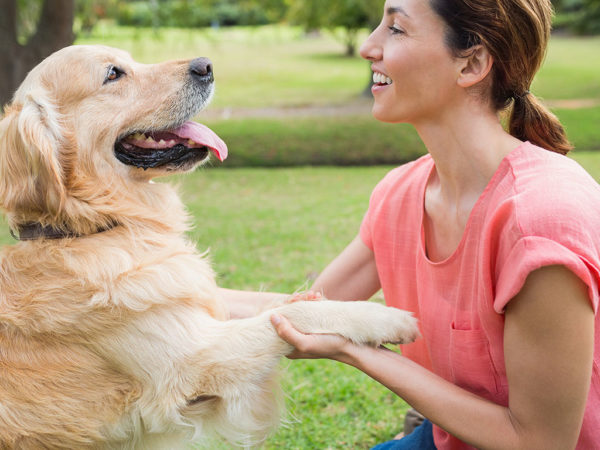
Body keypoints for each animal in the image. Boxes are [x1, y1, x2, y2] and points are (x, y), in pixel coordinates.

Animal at [0, 44, 418, 446]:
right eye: (113, 73)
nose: (206, 65)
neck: (91, 229)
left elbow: (269, 301)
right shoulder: (192, 362)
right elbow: (294, 315)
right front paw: (384, 318)